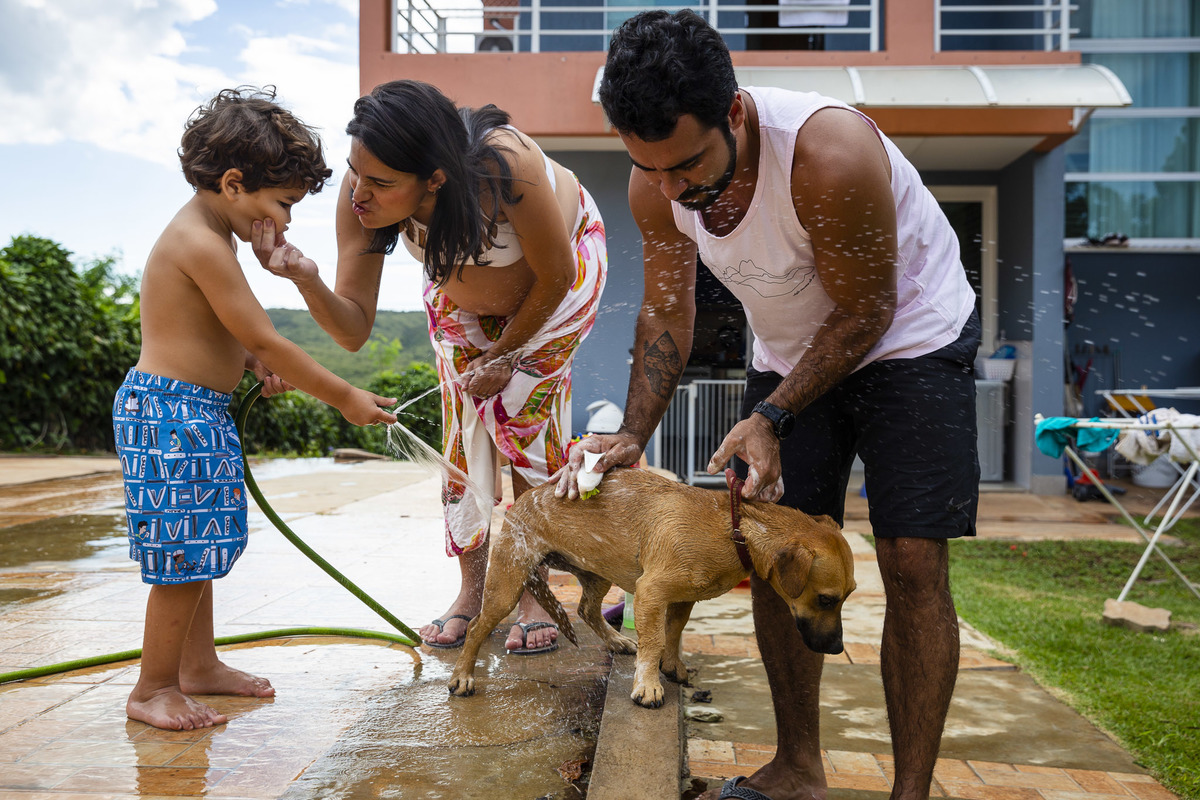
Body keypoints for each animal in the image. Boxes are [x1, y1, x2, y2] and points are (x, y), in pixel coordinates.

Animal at [448, 467, 856, 708]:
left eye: (848, 596)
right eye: (825, 599)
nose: (838, 648)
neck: (736, 528)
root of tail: (525, 498)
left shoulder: (683, 597)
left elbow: (673, 632)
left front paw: (671, 666)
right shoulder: (652, 591)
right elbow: (655, 639)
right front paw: (648, 684)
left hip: (599, 570)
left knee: (586, 609)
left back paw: (616, 640)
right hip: (507, 584)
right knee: (477, 625)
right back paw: (463, 676)